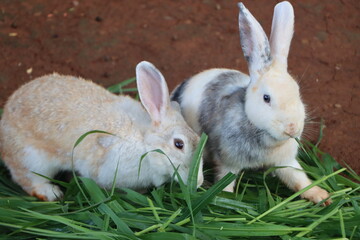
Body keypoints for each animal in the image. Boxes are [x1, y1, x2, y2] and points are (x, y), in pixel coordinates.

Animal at [0, 60, 202, 201]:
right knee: (27, 179)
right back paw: (51, 193)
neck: (144, 140)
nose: (198, 182)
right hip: (33, 160)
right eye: (178, 144)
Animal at [171, 1, 330, 204]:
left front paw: (322, 196)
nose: (292, 128)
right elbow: (225, 181)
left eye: (298, 92)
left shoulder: (285, 161)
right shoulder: (228, 161)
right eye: (266, 98)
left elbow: (298, 178)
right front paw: (225, 199)